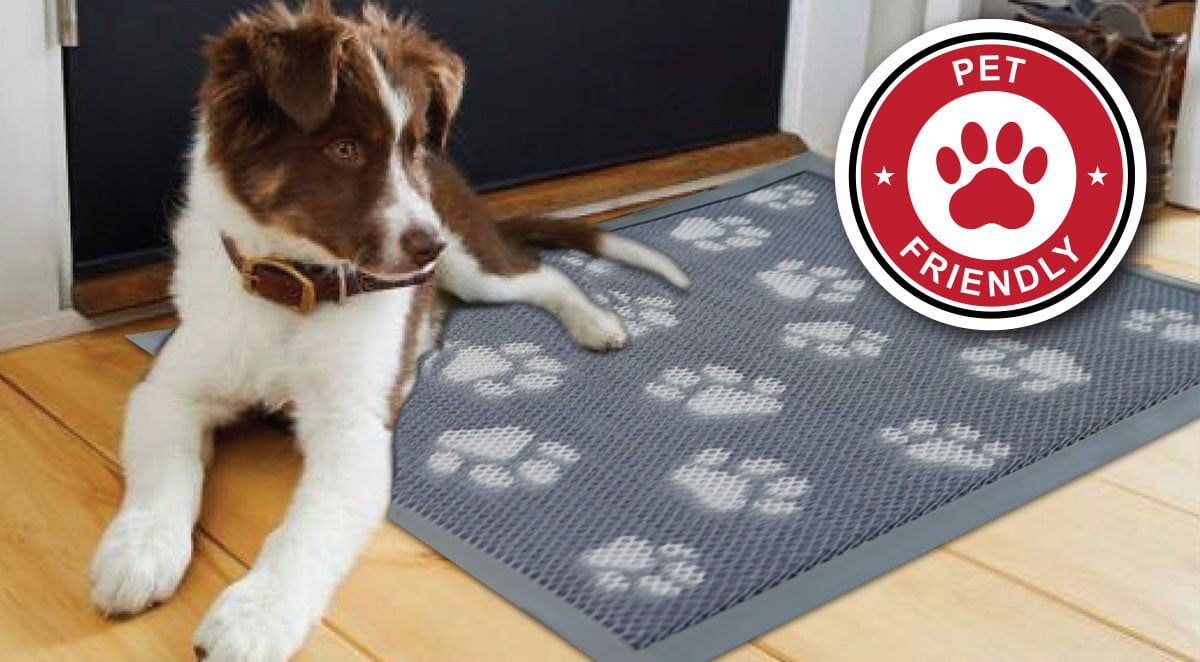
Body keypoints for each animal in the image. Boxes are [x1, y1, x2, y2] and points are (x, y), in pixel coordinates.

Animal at [88, 2, 688, 659]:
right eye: (345, 147)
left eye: (412, 147)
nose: (429, 244)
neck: (295, 289)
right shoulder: (170, 387)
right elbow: (166, 472)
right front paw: (138, 552)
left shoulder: (352, 428)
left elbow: (308, 531)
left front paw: (256, 618)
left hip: (474, 264)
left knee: (540, 274)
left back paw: (597, 322)